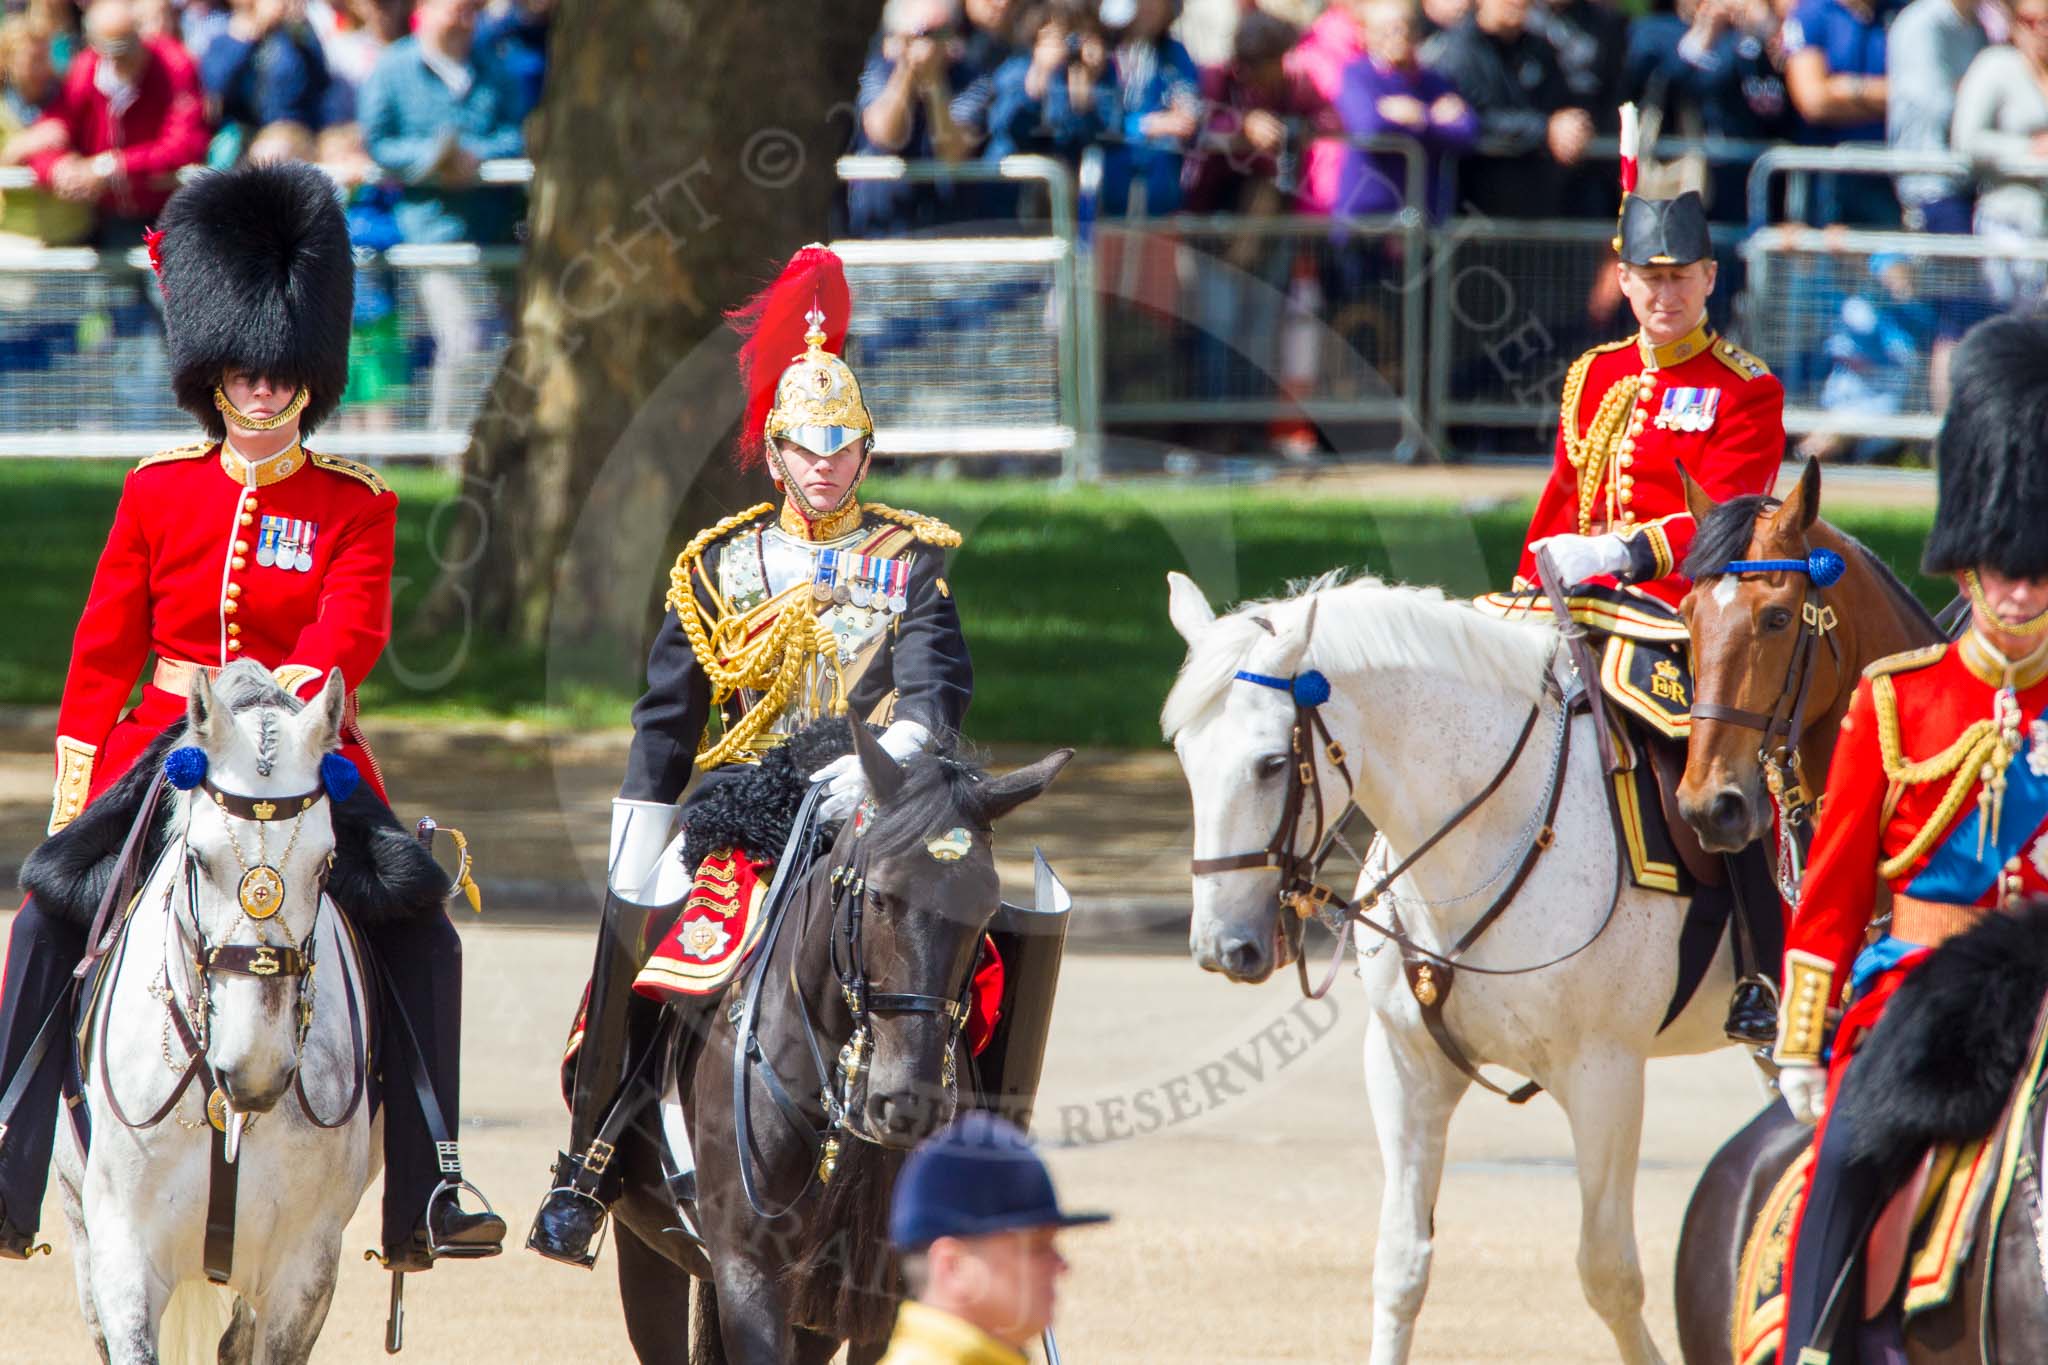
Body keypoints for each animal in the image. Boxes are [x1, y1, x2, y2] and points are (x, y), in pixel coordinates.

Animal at [593, 720, 1073, 1358]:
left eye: (987, 907)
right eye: (880, 896)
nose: (909, 1103)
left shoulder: (884, 1290)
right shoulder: (747, 1271)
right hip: (649, 1253)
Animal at [1163, 573, 1736, 1358]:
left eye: (1272, 764)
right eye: (1187, 759)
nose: (1222, 947)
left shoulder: (1606, 1075)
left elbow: (1609, 1273)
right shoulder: (1407, 1065)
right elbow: (1401, 1263)